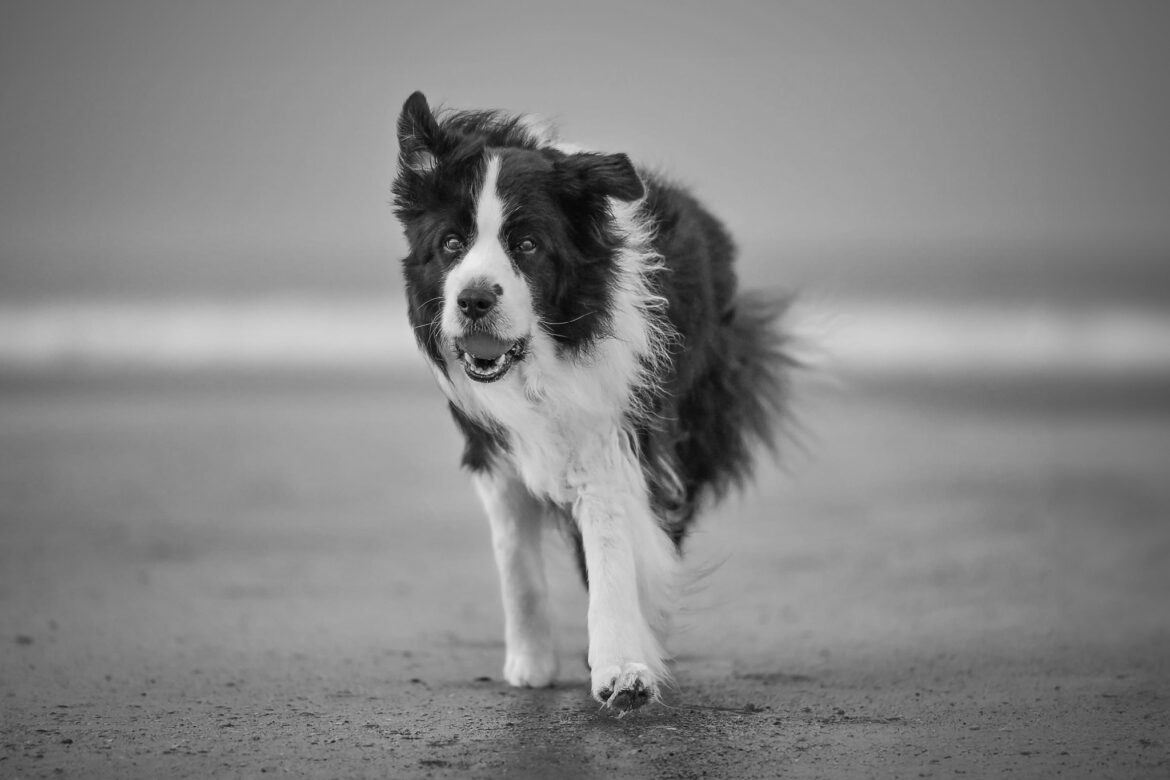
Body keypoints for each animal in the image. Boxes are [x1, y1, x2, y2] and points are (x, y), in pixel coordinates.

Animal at [395, 91, 795, 715]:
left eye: (527, 245)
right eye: (451, 244)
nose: (475, 299)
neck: (537, 367)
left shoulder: (611, 431)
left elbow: (610, 547)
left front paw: (622, 671)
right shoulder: (492, 450)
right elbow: (516, 561)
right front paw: (531, 662)